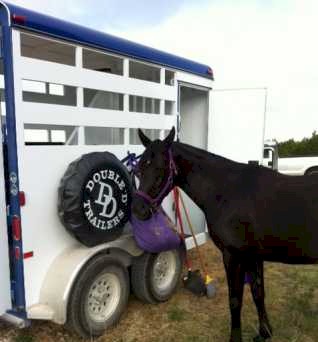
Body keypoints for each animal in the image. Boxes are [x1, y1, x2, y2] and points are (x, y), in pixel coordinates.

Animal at [132, 127, 318, 342]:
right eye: (139, 169)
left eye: (161, 169)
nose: (139, 210)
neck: (227, 191)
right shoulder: (253, 256)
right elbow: (258, 292)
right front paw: (264, 333)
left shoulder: (233, 256)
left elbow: (235, 300)